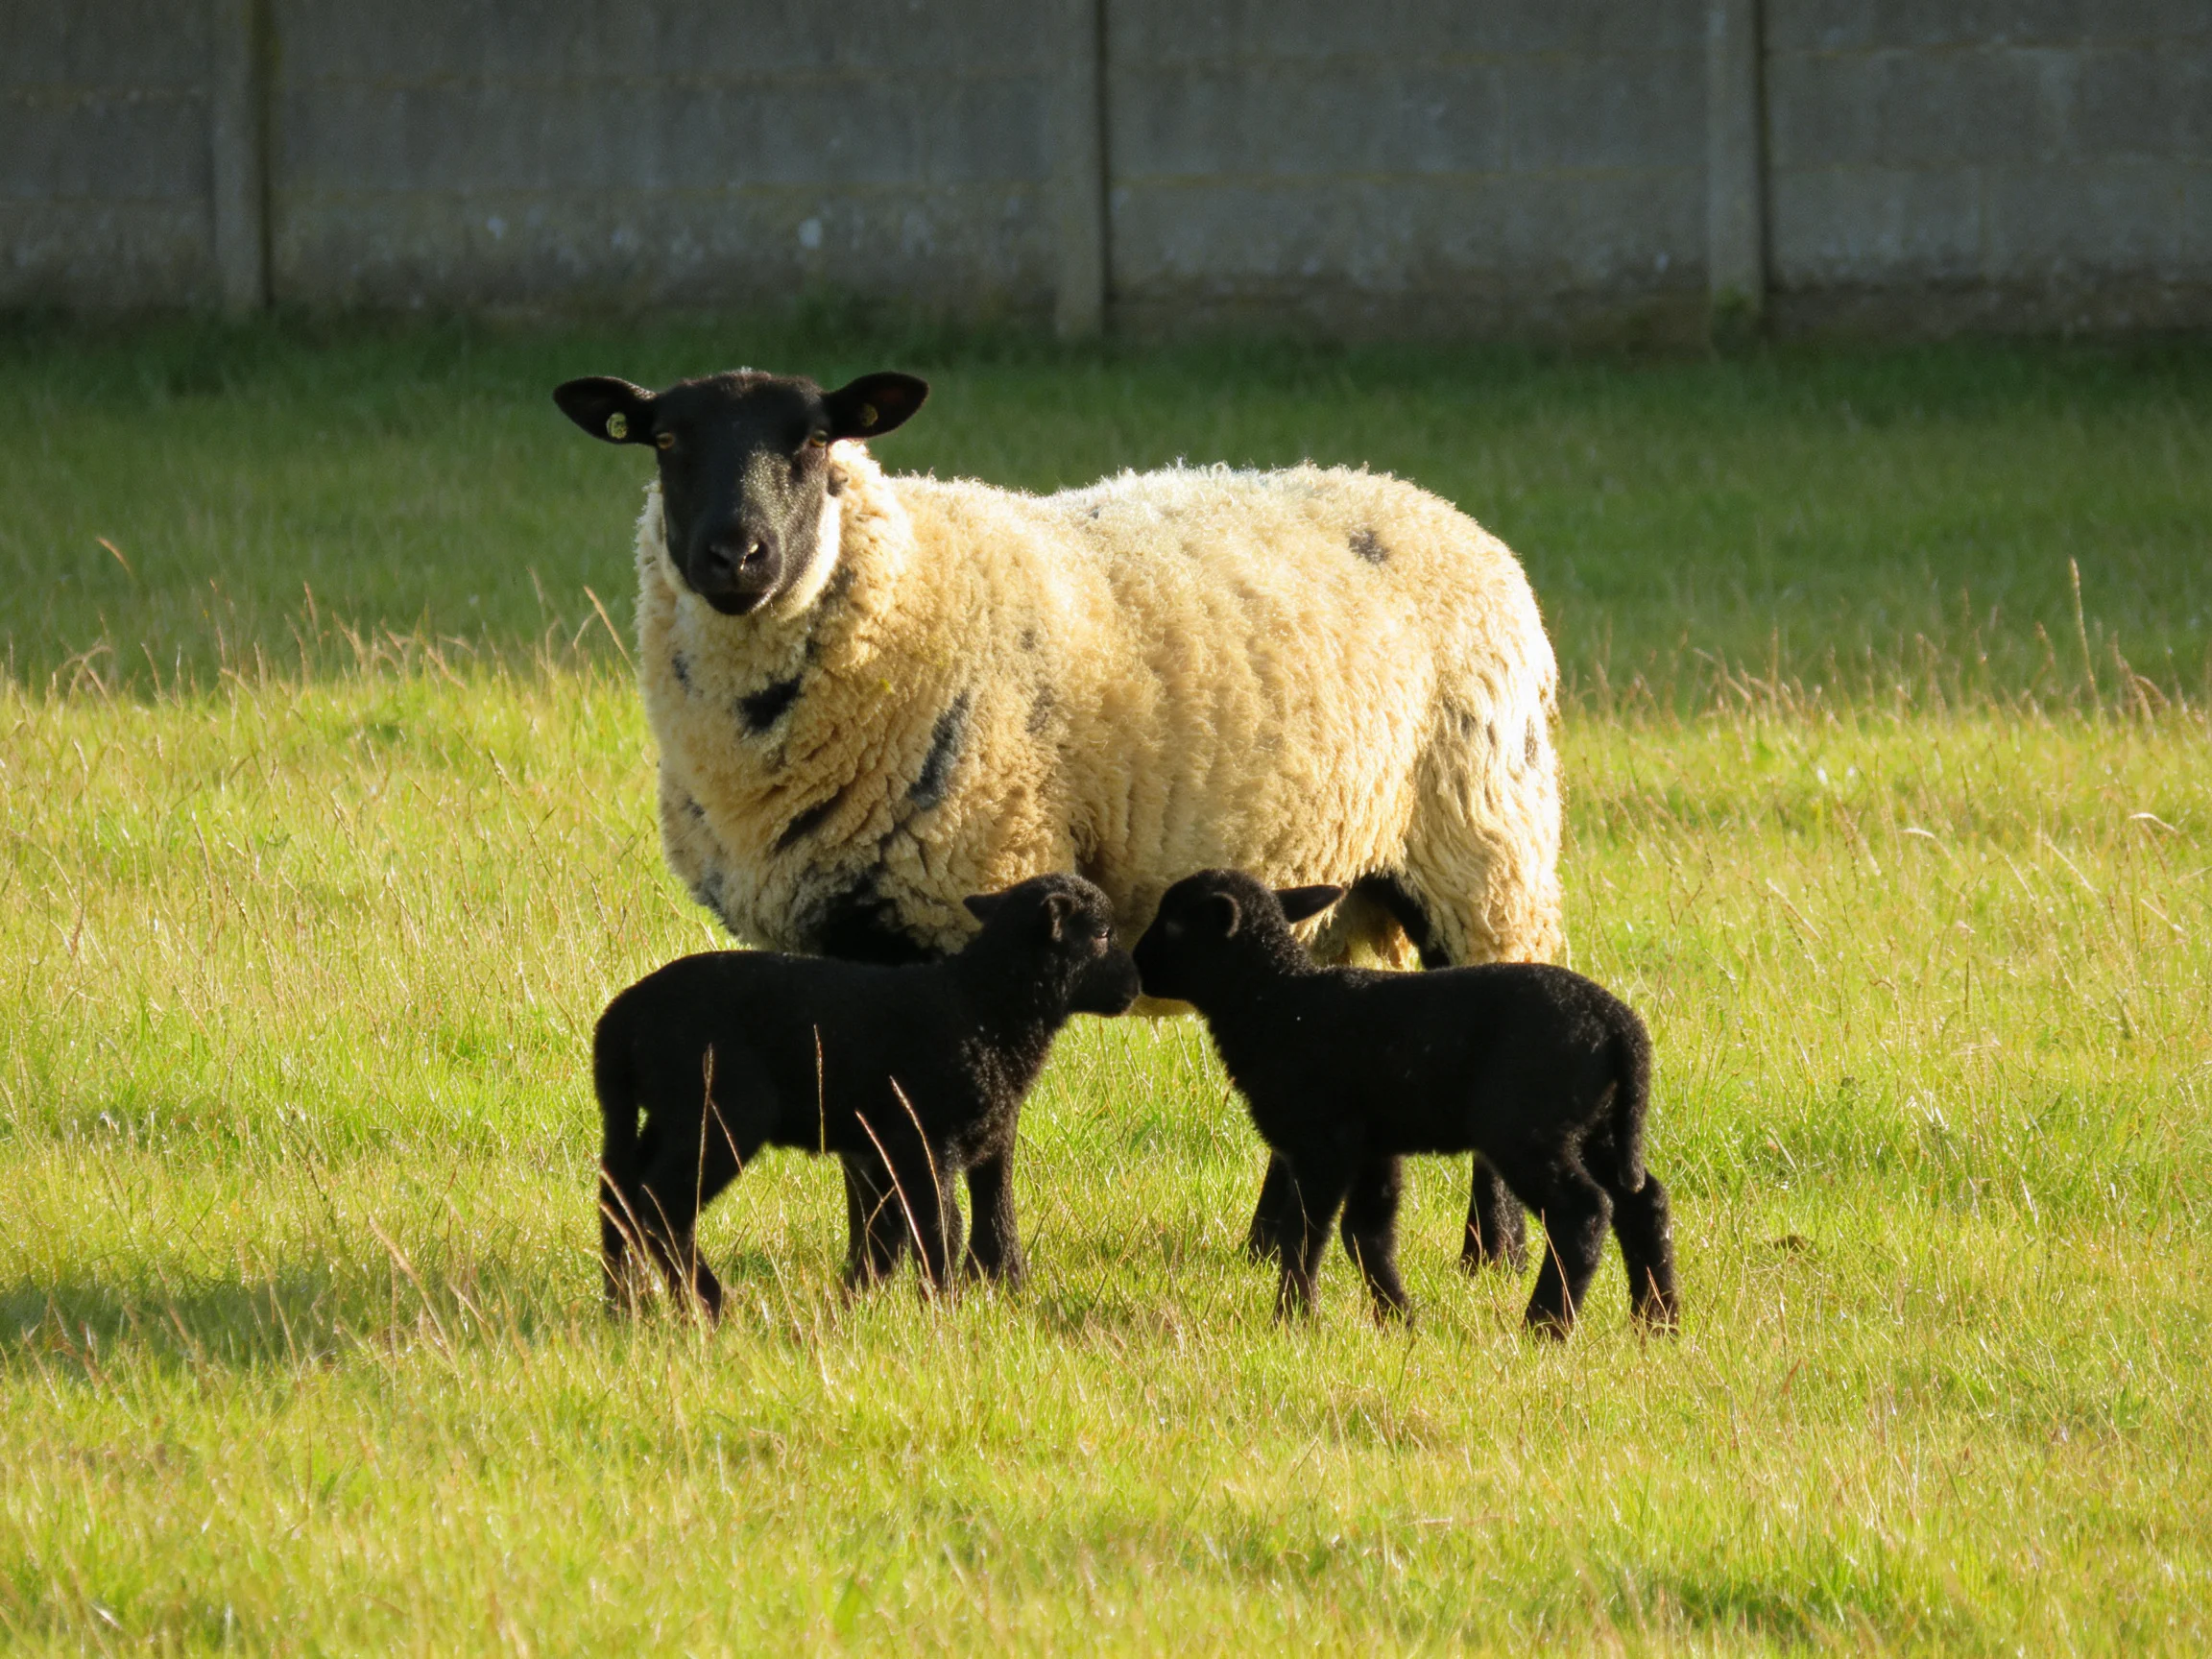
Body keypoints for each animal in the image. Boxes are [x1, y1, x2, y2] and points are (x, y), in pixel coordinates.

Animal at [594, 873, 1139, 1313]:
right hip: (720, 1115)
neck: (983, 1008)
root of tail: (621, 1017)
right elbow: (939, 1227)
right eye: (1102, 933)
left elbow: (981, 1218)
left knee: (619, 1196)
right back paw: (706, 1303)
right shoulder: (924, 1142)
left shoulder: (977, 1139)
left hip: (664, 1116)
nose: (1135, 987)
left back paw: (629, 1305)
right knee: (662, 1202)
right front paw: (943, 1308)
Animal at [1131, 870, 1680, 1337]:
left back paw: (1546, 1327)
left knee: (1582, 1211)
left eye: (1172, 923)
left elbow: (1305, 1234)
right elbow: (1365, 1234)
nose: (1132, 964)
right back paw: (1658, 1323)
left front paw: (1293, 1321)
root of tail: (1620, 1026)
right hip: (1597, 1124)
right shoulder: (1372, 1146)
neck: (1275, 1003)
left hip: (1527, 1126)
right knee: (1643, 1201)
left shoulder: (1323, 1143)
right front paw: (1399, 1319)